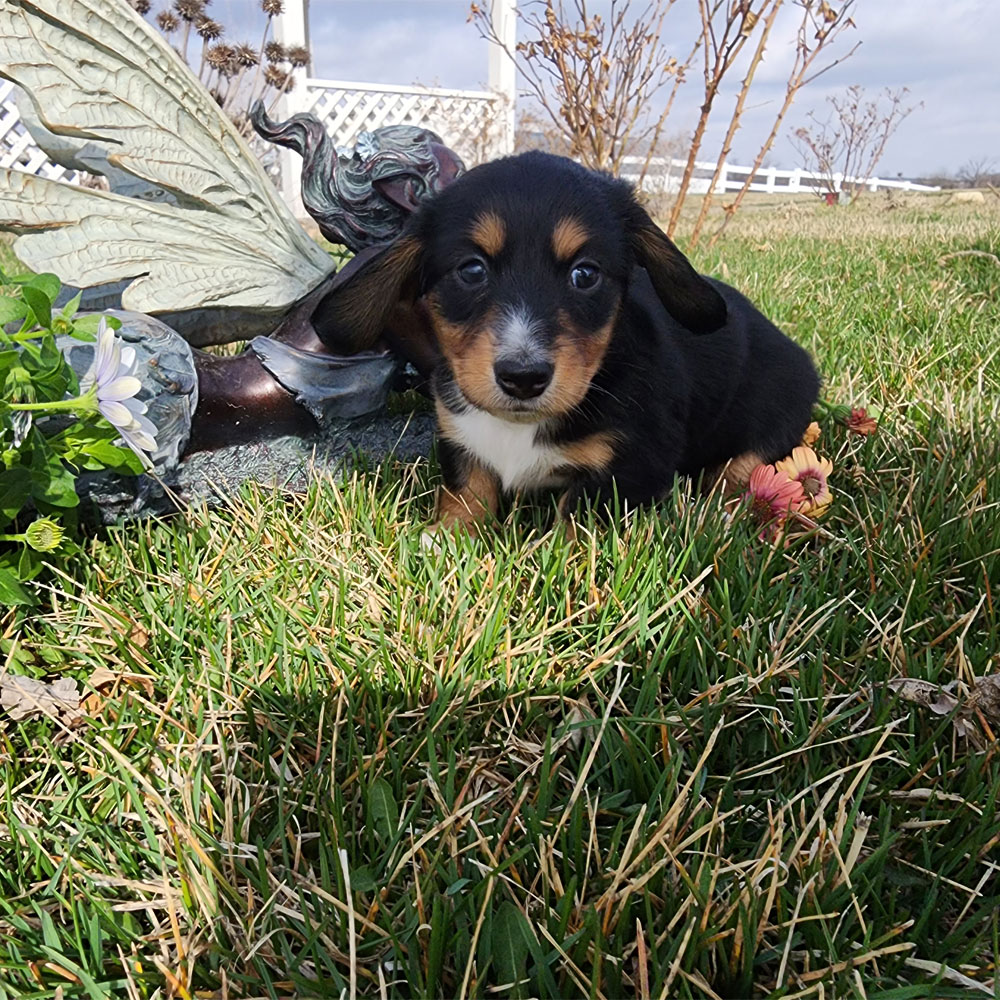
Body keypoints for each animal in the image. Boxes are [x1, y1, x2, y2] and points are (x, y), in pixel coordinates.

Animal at [318, 151, 820, 536]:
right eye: (472, 270)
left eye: (585, 274)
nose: (523, 378)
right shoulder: (457, 433)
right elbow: (467, 486)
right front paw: (447, 537)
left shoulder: (630, 466)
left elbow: (576, 523)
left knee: (742, 469)